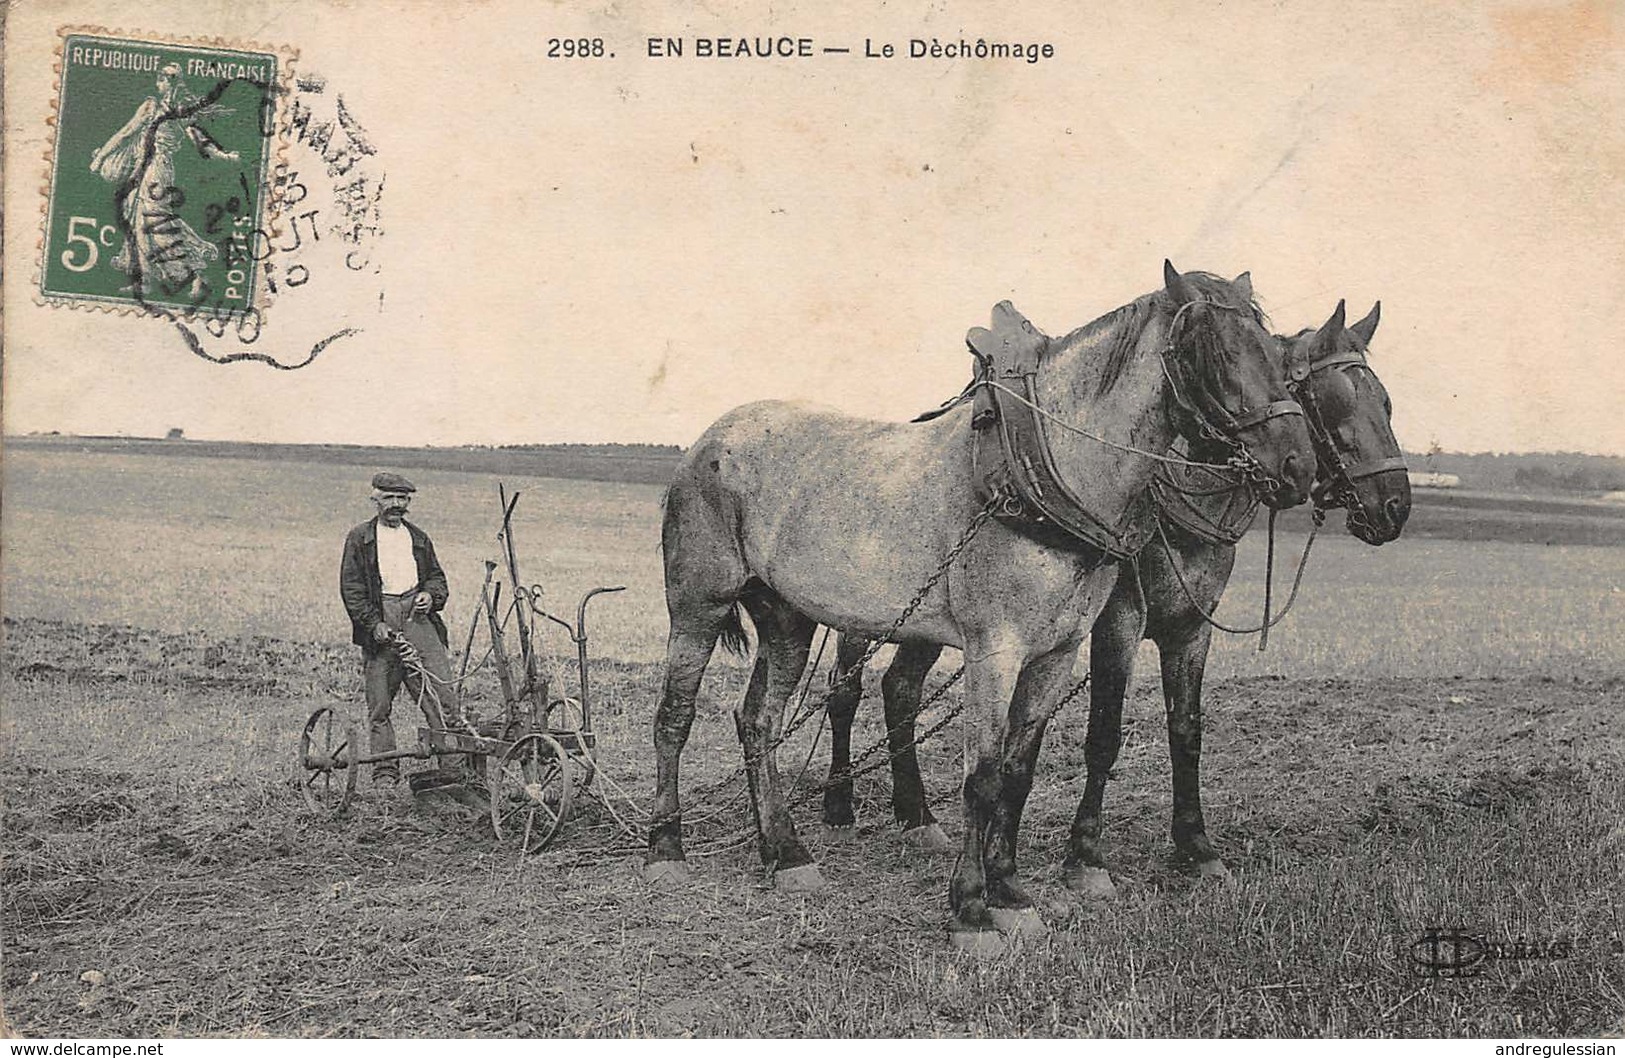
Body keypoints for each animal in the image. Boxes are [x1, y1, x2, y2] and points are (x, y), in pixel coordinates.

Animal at [640, 260, 1313, 949]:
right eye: (1216, 353)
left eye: (1282, 357)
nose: (1298, 465)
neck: (1047, 468)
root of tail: (709, 441)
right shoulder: (997, 650)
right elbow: (982, 777)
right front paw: (970, 909)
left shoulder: (1056, 653)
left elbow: (1018, 770)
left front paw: (1011, 893)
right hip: (697, 606)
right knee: (675, 716)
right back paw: (667, 847)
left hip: (787, 620)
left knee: (759, 722)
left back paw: (784, 852)